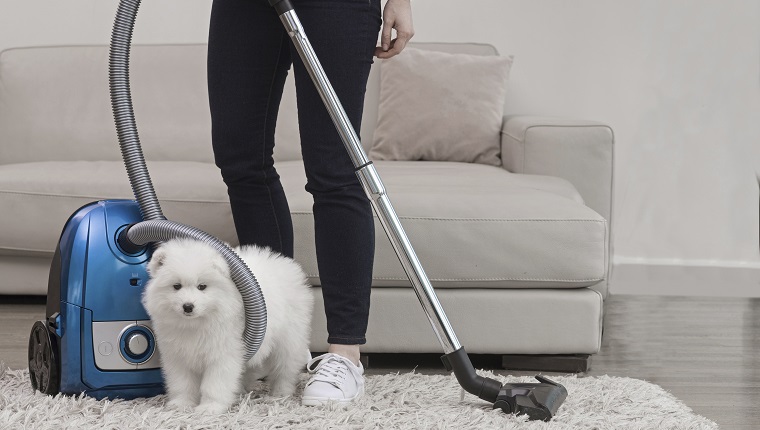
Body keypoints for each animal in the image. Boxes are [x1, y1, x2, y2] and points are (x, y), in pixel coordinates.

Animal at [142, 239, 312, 414]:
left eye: (202, 286)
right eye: (176, 286)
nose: (188, 306)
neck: (195, 323)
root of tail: (284, 263)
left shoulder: (221, 355)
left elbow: (215, 384)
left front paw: (210, 407)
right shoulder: (178, 356)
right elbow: (182, 383)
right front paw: (181, 404)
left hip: (289, 339)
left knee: (285, 369)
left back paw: (280, 394)